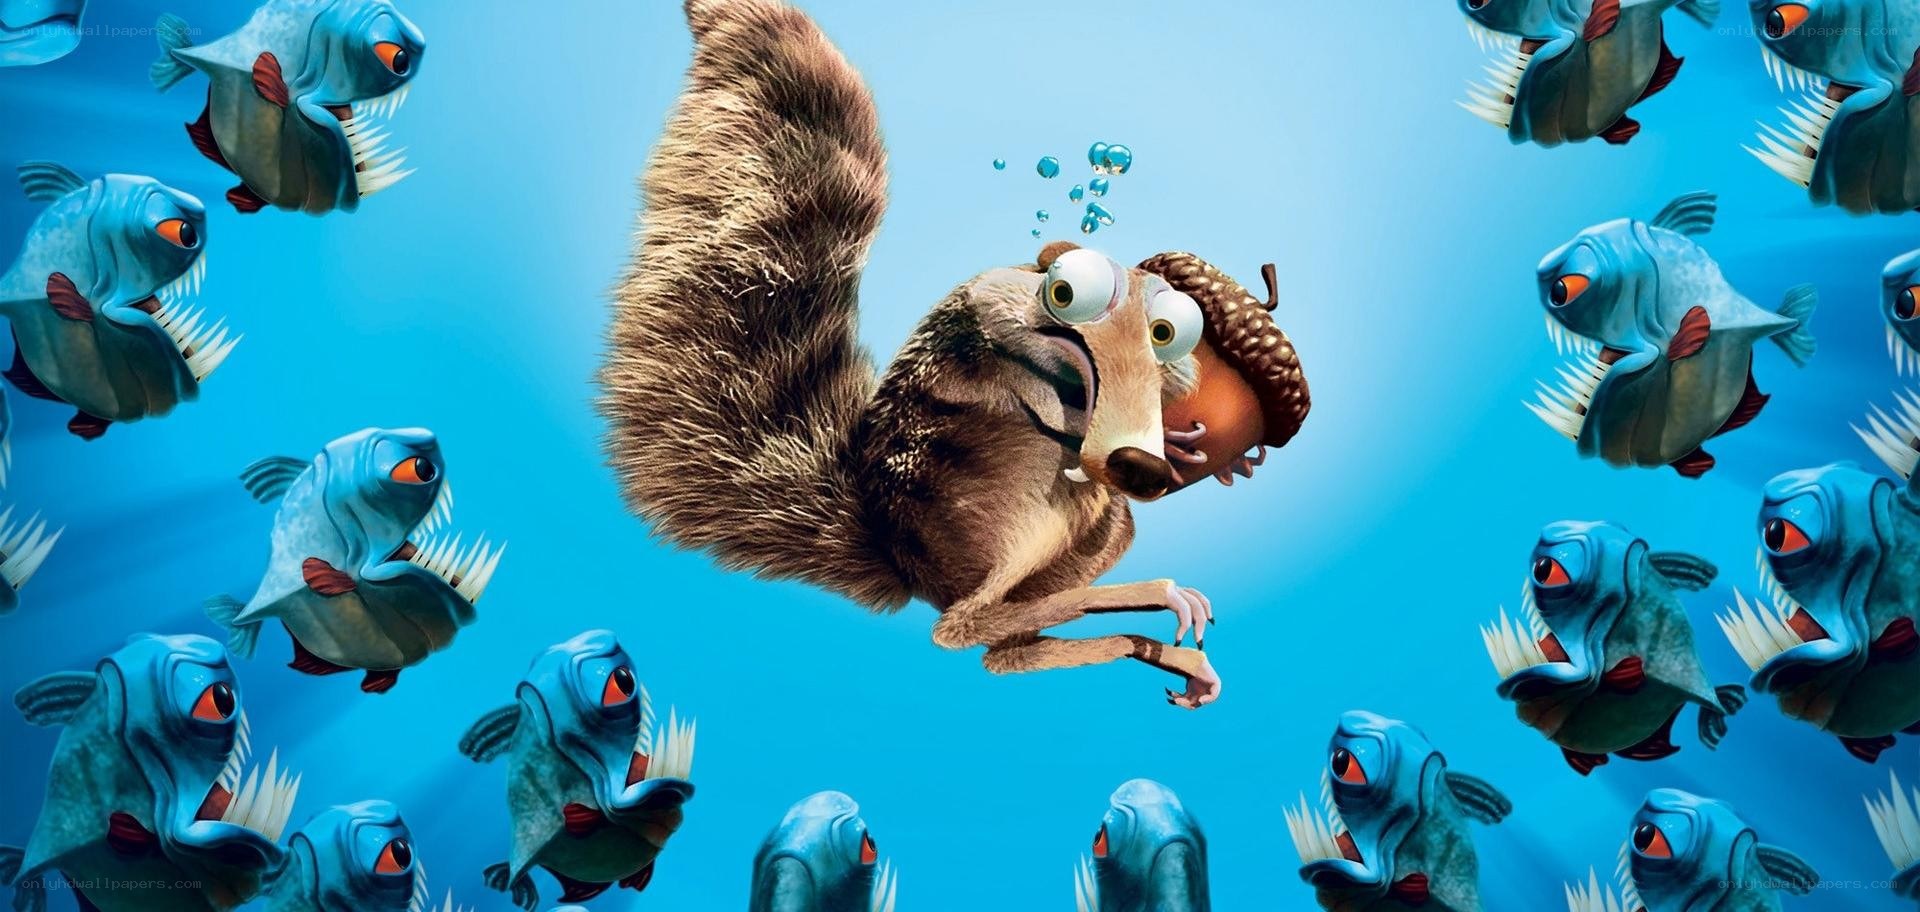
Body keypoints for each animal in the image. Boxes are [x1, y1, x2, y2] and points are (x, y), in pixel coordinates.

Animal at [599, 0, 1307, 708]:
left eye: (1172, 331)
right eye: (1068, 292)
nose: (1139, 465)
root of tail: (910, 564)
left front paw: (1187, 446)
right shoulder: (978, 341)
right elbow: (1027, 395)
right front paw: (1091, 426)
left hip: (1095, 532)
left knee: (1004, 650)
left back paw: (1146, 640)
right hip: (1009, 505)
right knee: (964, 626)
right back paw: (1147, 598)